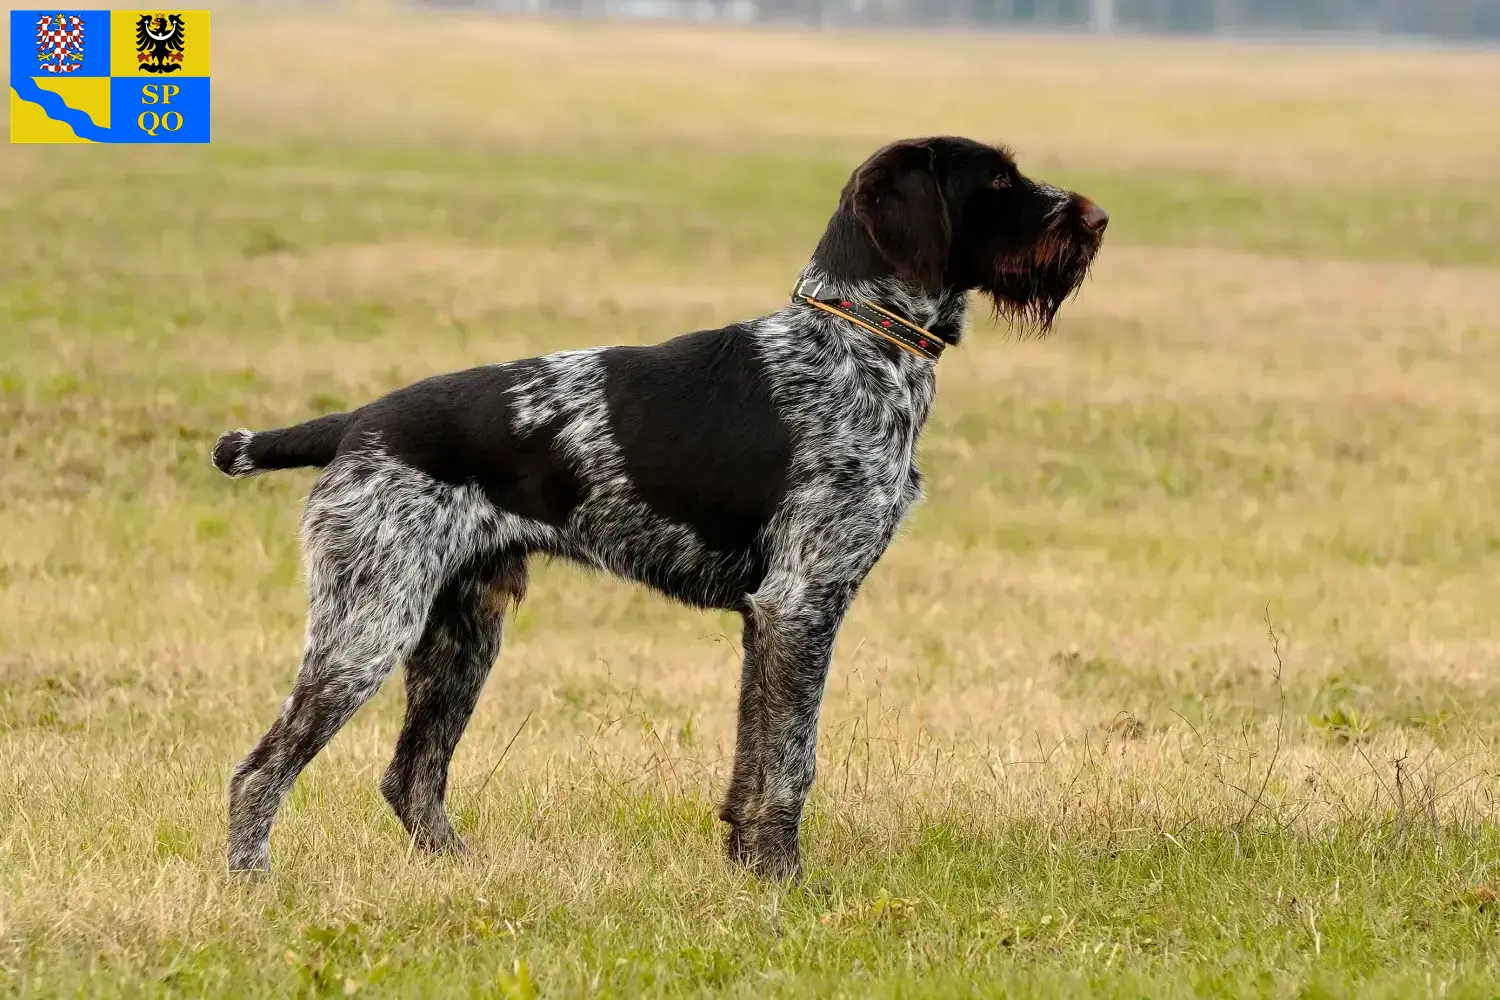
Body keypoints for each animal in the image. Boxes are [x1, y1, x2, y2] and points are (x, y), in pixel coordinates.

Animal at [211, 137, 1104, 881]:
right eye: (998, 180)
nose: (1097, 220)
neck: (859, 342)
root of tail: (357, 422)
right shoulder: (802, 604)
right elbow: (790, 763)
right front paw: (784, 883)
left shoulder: (770, 619)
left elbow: (754, 760)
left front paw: (747, 871)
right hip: (368, 627)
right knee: (260, 771)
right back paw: (251, 882)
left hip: (462, 633)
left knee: (410, 777)